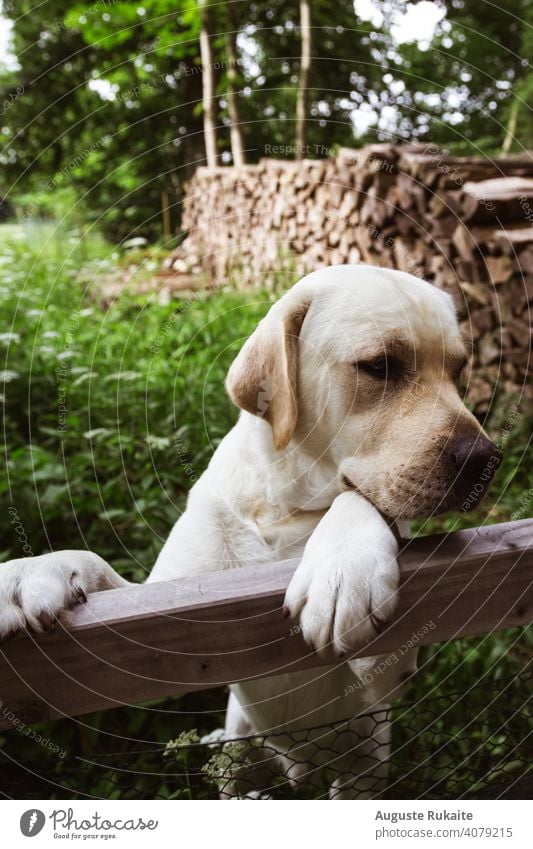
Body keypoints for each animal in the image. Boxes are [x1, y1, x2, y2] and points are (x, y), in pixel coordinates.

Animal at [1, 264, 498, 796]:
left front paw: (345, 567)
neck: (285, 508)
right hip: (237, 751)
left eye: (457, 371)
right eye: (380, 366)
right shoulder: (156, 614)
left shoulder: (384, 675)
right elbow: (94, 565)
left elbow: (357, 499)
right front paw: (28, 574)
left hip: (364, 759)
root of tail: (301, 766)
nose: (485, 460)